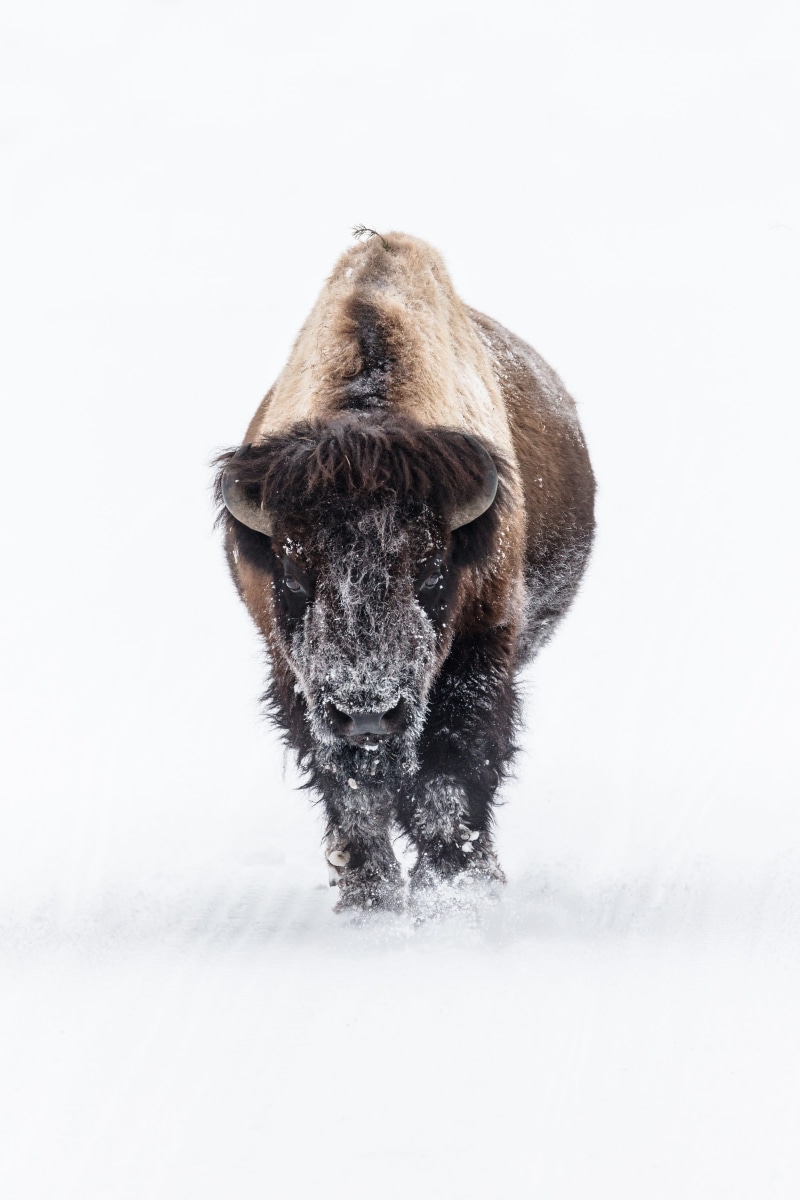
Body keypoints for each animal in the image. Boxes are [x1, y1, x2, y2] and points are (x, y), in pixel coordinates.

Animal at [215, 231, 595, 912]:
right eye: (293, 570)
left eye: (432, 569)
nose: (367, 713)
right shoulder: (296, 679)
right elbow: (353, 792)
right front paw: (369, 896)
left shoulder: (478, 655)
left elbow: (450, 778)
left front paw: (452, 891)